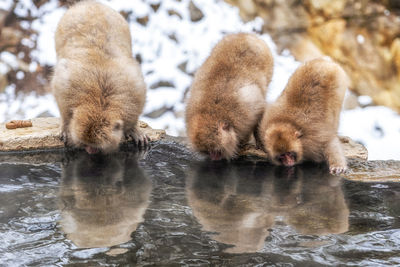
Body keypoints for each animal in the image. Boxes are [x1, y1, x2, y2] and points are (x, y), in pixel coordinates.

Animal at [51, 1, 147, 155]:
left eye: (95, 146)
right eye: (85, 144)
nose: (90, 151)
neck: (100, 99)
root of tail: (90, 3)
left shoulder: (136, 92)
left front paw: (133, 129)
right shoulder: (64, 86)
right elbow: (63, 106)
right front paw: (65, 126)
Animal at [185, 32, 274, 160]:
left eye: (216, 150)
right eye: (207, 151)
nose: (214, 158)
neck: (211, 113)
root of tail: (244, 34)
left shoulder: (247, 111)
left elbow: (260, 113)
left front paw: (259, 144)